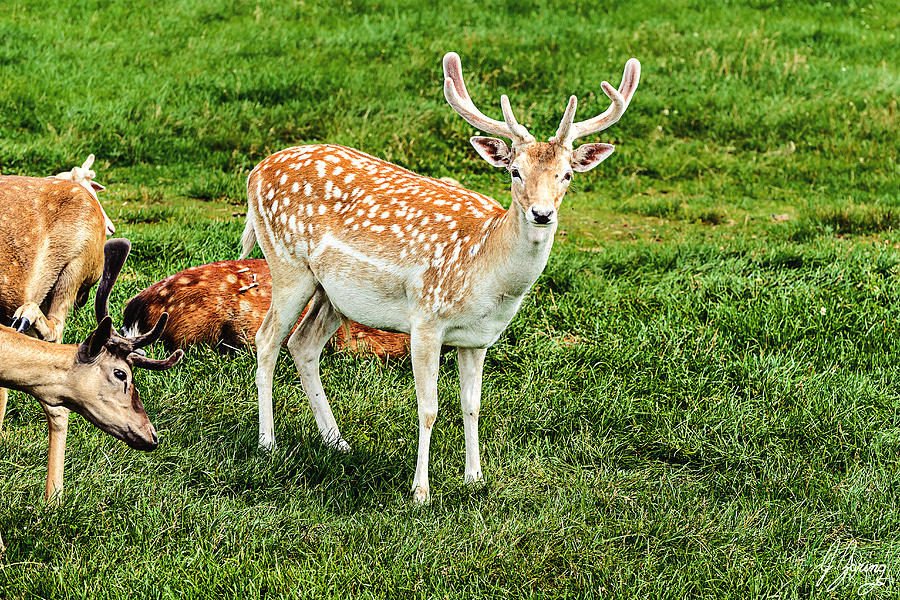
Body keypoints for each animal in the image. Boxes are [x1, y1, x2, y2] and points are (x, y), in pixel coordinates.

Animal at [239, 51, 640, 502]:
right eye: (514, 171)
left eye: (567, 174)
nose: (541, 213)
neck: (487, 277)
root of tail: (255, 171)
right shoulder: (426, 319)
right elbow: (428, 408)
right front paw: (420, 492)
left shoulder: (479, 339)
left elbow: (472, 405)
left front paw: (475, 478)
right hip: (287, 263)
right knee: (267, 340)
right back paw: (268, 443)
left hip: (333, 293)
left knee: (303, 344)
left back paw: (337, 442)